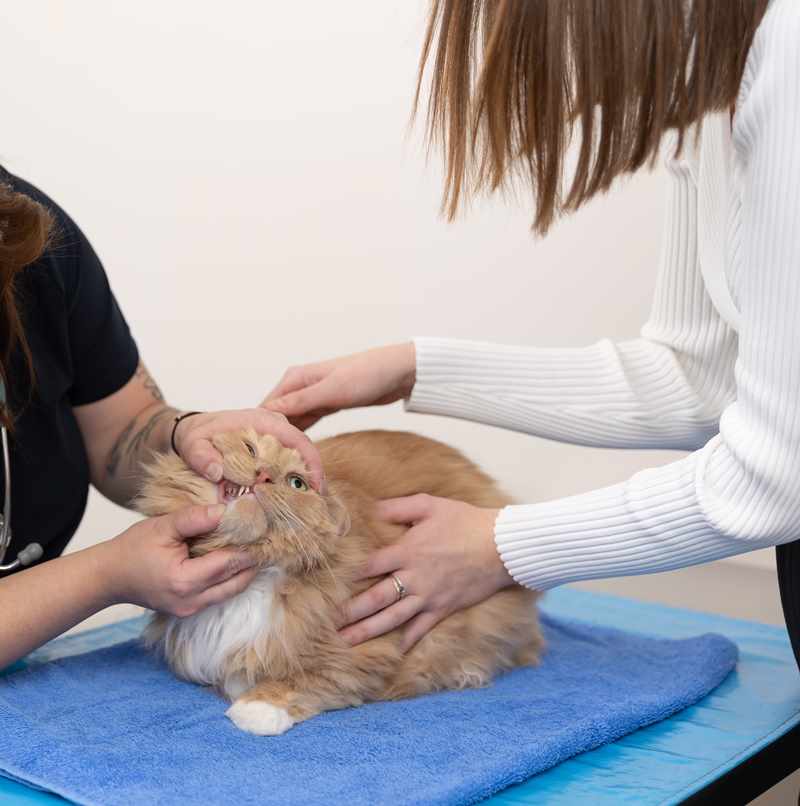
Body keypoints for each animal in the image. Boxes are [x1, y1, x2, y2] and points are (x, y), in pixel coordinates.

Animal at [138, 432, 540, 736]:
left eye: (296, 482)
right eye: (251, 449)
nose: (263, 474)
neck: (261, 571)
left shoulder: (365, 650)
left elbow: (305, 678)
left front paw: (256, 708)